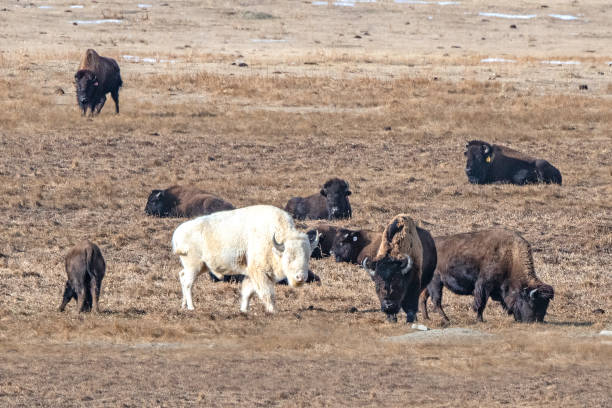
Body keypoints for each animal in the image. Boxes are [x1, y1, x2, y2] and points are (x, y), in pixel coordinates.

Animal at [170, 204, 318, 312]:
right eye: (289, 257)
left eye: (308, 256)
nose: (301, 277)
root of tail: (178, 233)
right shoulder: (259, 273)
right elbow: (267, 293)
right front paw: (273, 310)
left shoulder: (254, 274)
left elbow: (248, 292)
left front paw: (244, 310)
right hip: (193, 267)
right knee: (188, 283)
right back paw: (191, 307)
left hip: (200, 267)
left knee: (182, 276)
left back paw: (183, 305)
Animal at [420, 228, 556, 324]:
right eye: (533, 303)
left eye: (546, 305)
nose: (537, 321)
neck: (511, 257)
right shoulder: (484, 286)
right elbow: (481, 303)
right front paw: (480, 320)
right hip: (436, 282)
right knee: (436, 301)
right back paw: (446, 319)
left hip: (429, 284)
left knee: (423, 298)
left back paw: (426, 318)